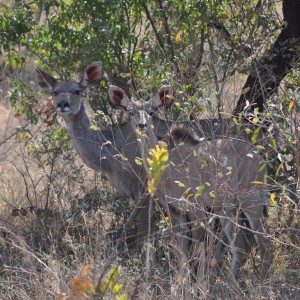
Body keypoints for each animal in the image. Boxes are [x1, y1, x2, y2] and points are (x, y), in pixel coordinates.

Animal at [107, 84, 272, 282]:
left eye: (152, 111)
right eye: (131, 112)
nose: (142, 125)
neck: (169, 168)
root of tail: (259, 157)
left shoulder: (196, 208)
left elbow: (198, 248)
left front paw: (198, 284)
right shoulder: (175, 211)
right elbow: (182, 249)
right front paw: (183, 283)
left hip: (251, 201)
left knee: (263, 244)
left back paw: (260, 282)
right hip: (227, 208)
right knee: (241, 246)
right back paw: (231, 283)